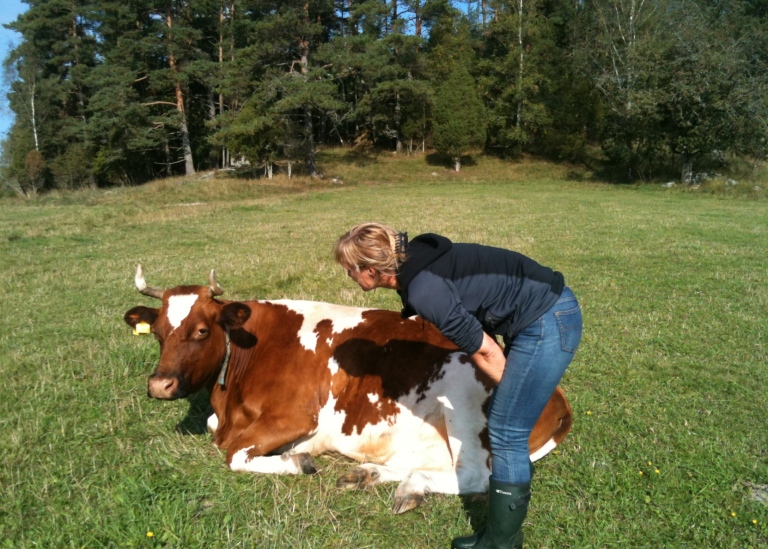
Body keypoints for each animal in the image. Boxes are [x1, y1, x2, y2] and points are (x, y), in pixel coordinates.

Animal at [124, 266, 568, 512]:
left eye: (201, 330)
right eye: (158, 332)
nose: (159, 385)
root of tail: (558, 396)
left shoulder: (294, 416)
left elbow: (234, 455)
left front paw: (297, 461)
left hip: (463, 396)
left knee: (475, 475)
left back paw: (411, 487)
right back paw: (369, 475)